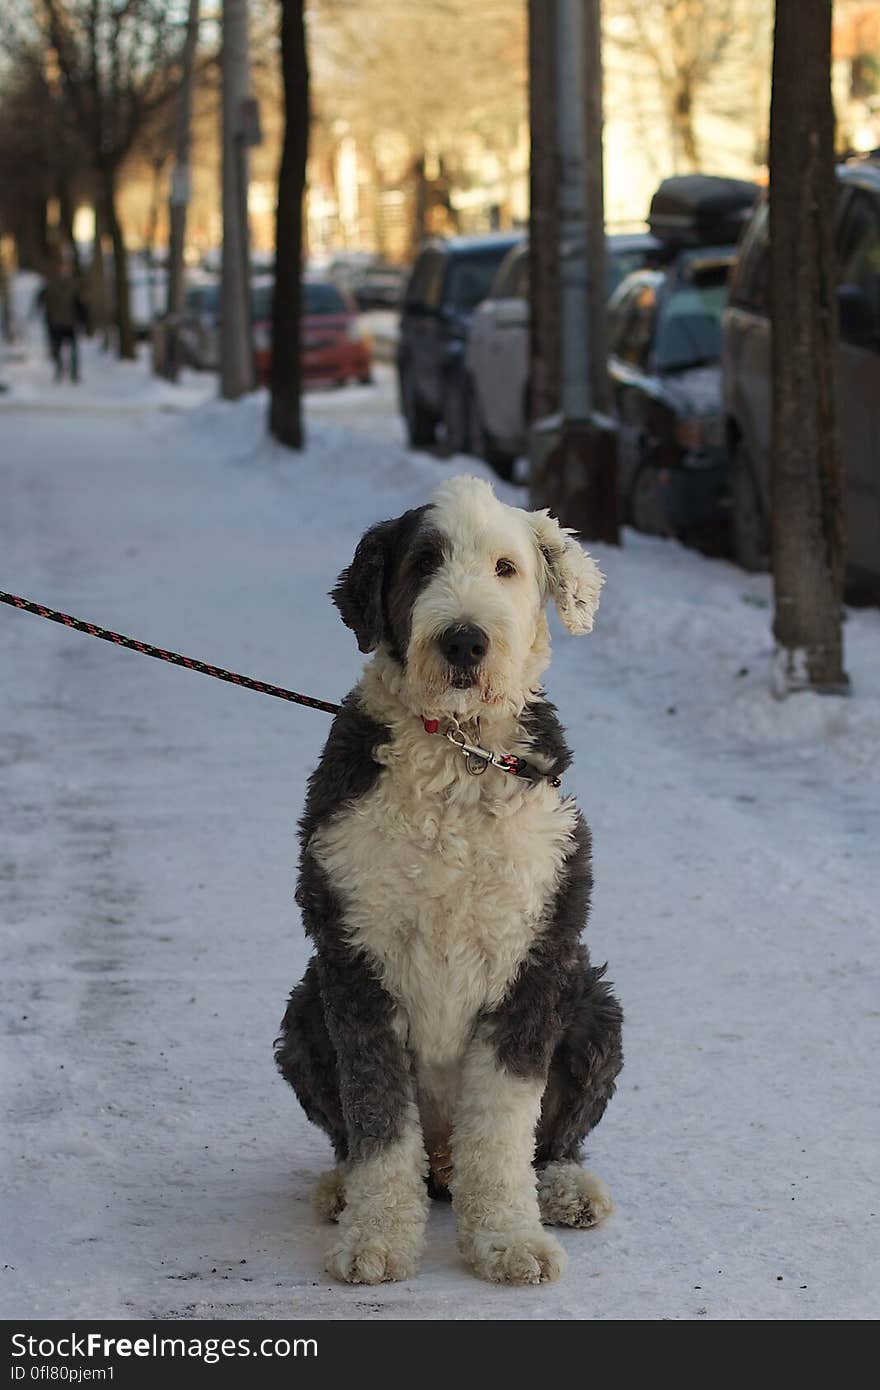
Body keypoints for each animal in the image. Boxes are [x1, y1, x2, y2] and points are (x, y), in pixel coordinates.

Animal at [278, 475, 620, 1278]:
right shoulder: (354, 963)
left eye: (506, 568)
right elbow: (377, 1118)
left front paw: (508, 1242)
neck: (458, 748)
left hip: (593, 1005)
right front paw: (374, 1238)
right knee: (360, 1138)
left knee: (551, 1141)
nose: (464, 640)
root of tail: (440, 1163)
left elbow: (502, 1127)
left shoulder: (533, 961)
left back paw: (565, 1192)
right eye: (423, 563)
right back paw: (342, 1190)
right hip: (303, 1012)